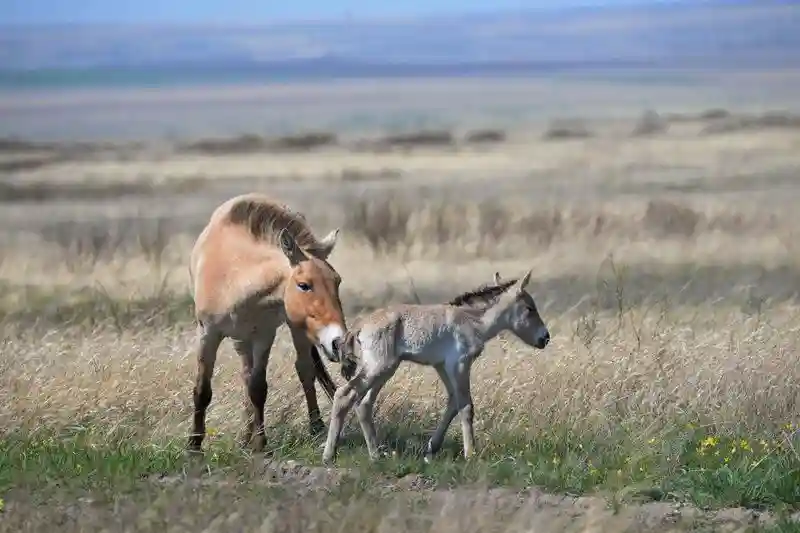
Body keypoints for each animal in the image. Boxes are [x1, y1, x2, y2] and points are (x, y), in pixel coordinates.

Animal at [191, 193, 350, 450]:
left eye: (337, 281)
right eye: (304, 285)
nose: (338, 342)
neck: (235, 277)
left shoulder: (263, 336)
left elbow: (258, 388)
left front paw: (261, 445)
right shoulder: (208, 333)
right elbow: (203, 390)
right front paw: (193, 446)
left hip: (294, 329)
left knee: (304, 370)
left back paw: (316, 427)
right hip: (240, 339)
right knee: (246, 375)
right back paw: (244, 438)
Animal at [324, 268, 552, 464]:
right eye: (530, 308)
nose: (545, 338)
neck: (472, 320)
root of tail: (360, 326)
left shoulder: (442, 366)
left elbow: (453, 403)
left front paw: (431, 449)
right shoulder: (459, 364)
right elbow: (466, 406)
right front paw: (471, 454)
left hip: (384, 370)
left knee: (363, 403)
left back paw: (376, 455)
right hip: (378, 368)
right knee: (345, 395)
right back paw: (329, 455)